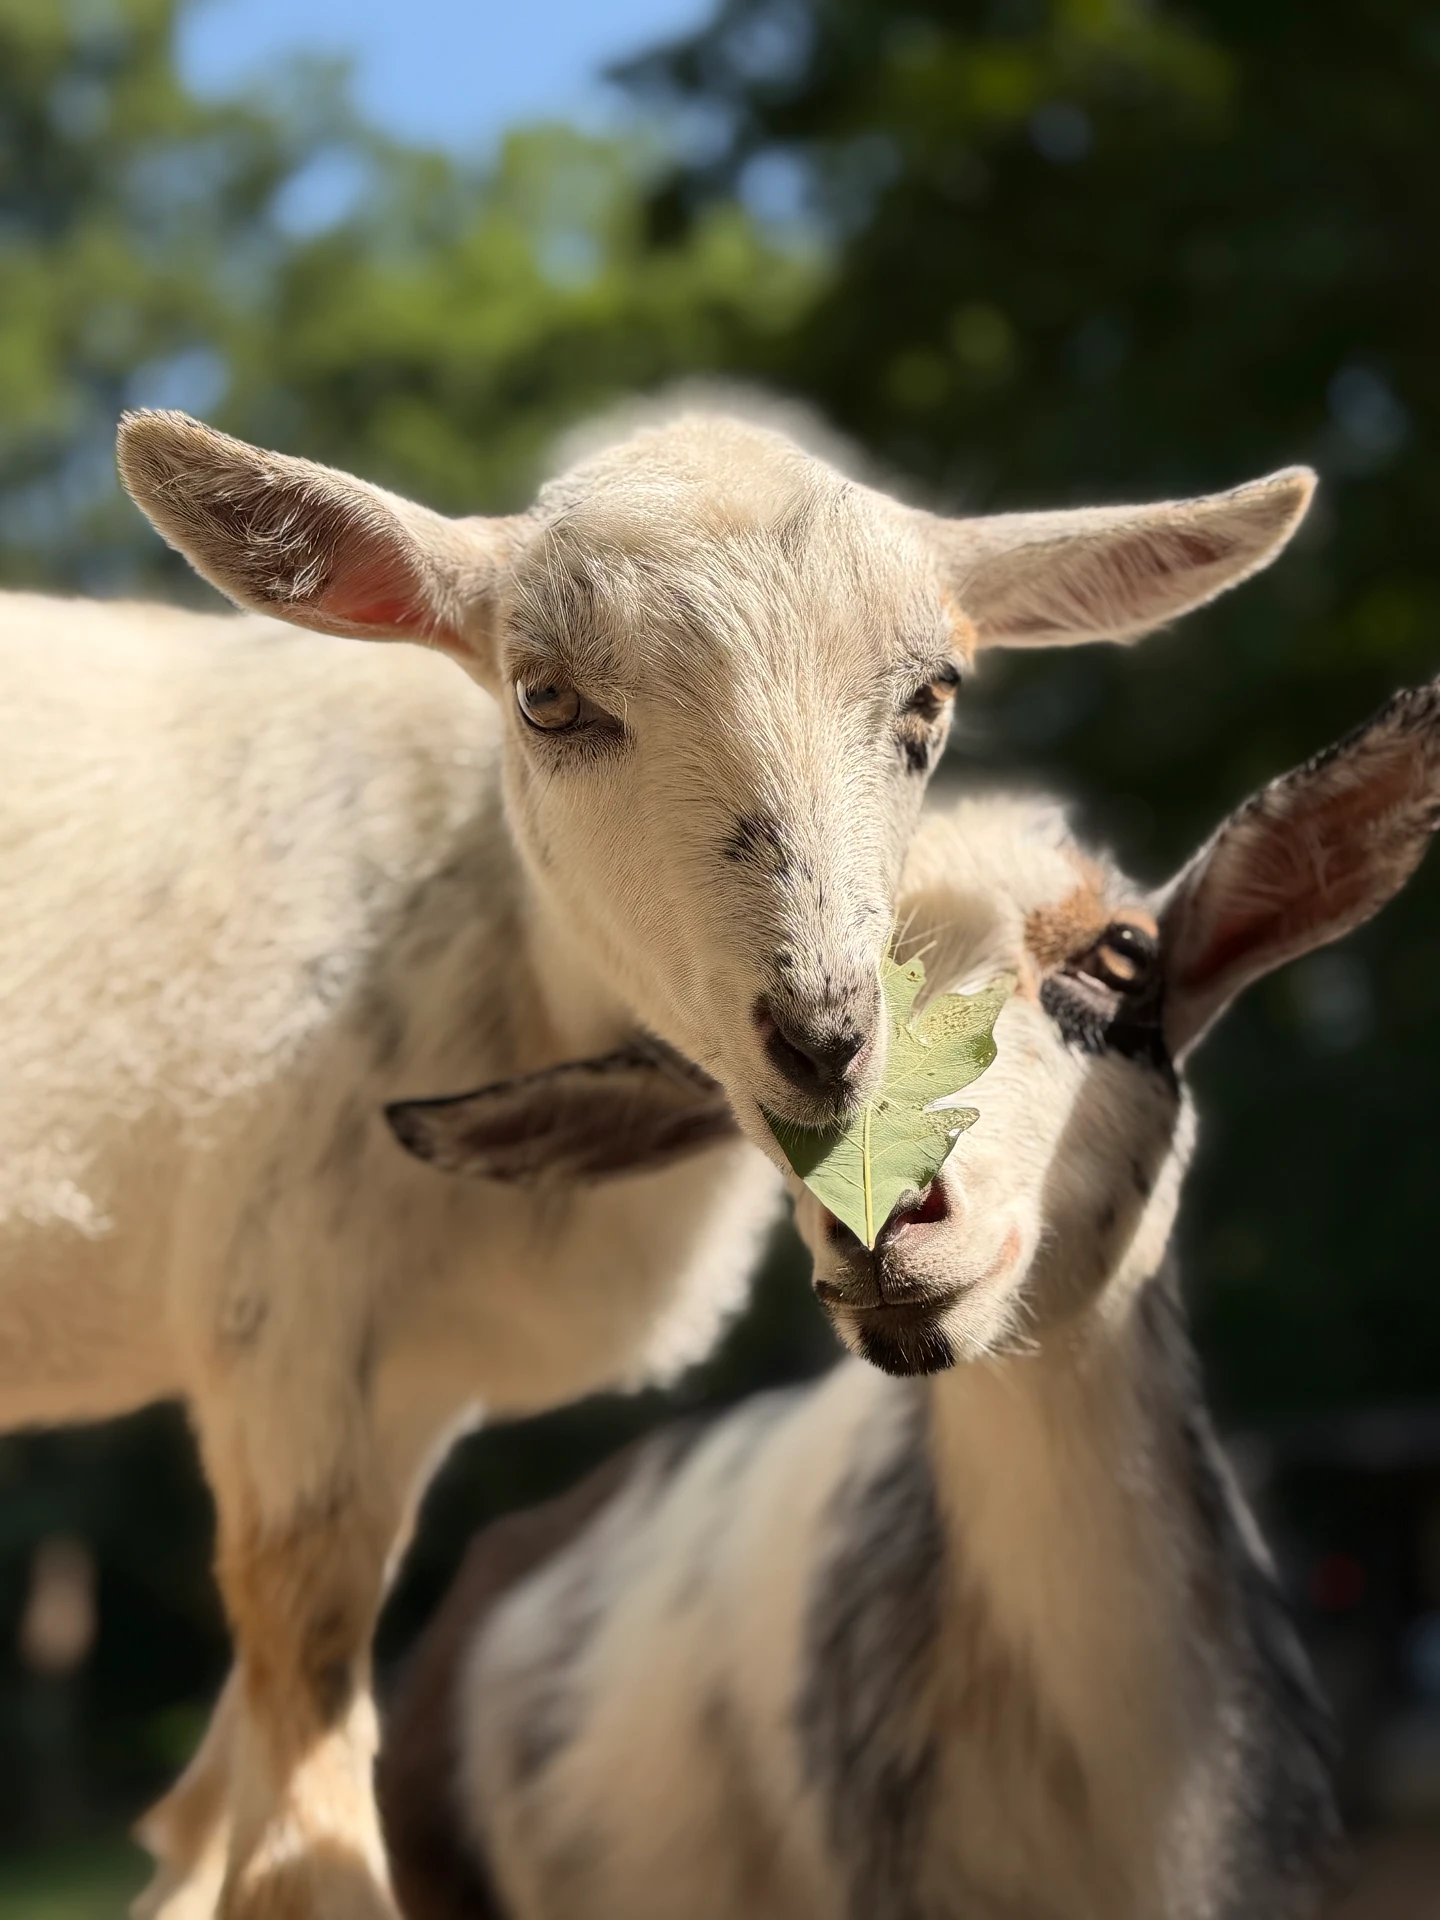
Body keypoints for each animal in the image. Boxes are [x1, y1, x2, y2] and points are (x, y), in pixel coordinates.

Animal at [0, 402, 1312, 1919]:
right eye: (546, 700)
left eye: (932, 700)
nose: (826, 1038)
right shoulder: (282, 1324)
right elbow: (300, 1840)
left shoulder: (406, 1388)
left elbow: (211, 1819)